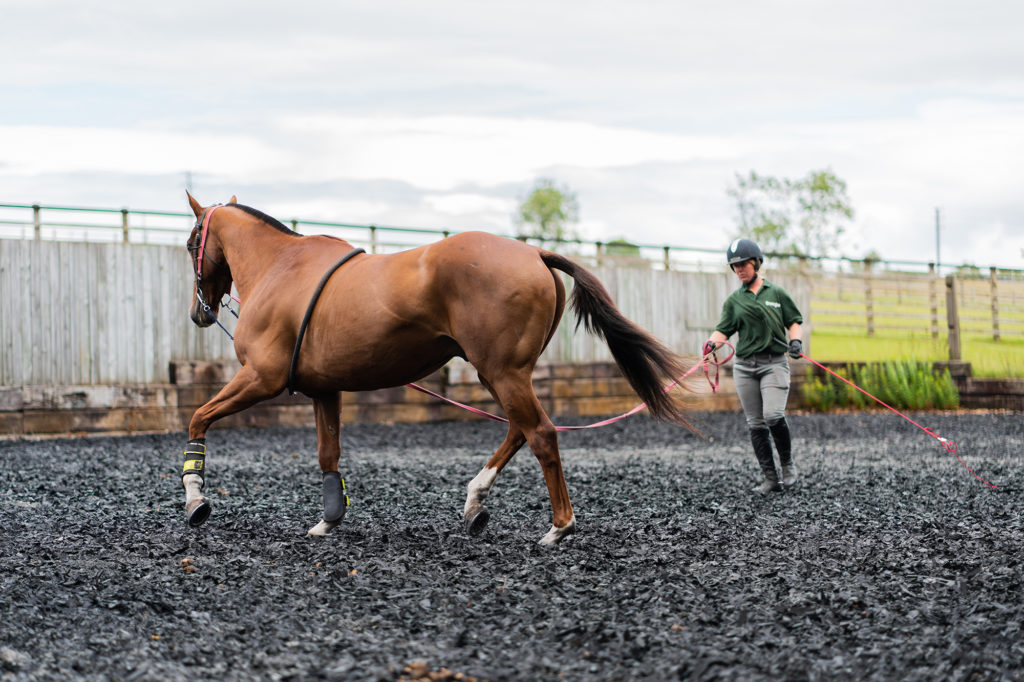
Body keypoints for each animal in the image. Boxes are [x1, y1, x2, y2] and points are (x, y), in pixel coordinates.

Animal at [182, 193, 696, 544]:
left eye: (191, 244)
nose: (198, 313)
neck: (282, 268)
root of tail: (533, 253)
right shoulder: (324, 390)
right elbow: (328, 455)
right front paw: (328, 521)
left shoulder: (260, 378)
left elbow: (198, 419)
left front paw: (195, 499)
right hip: (500, 373)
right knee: (519, 430)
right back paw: (475, 503)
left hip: (503, 372)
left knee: (541, 434)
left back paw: (558, 527)